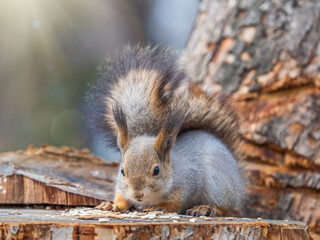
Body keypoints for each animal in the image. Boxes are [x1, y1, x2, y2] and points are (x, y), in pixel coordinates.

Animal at [86, 44, 246, 217]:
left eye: (156, 170)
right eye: (122, 170)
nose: (137, 194)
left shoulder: (188, 185)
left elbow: (175, 204)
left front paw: (158, 207)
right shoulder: (122, 187)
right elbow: (121, 196)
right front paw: (112, 205)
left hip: (220, 185)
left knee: (227, 207)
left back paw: (206, 208)